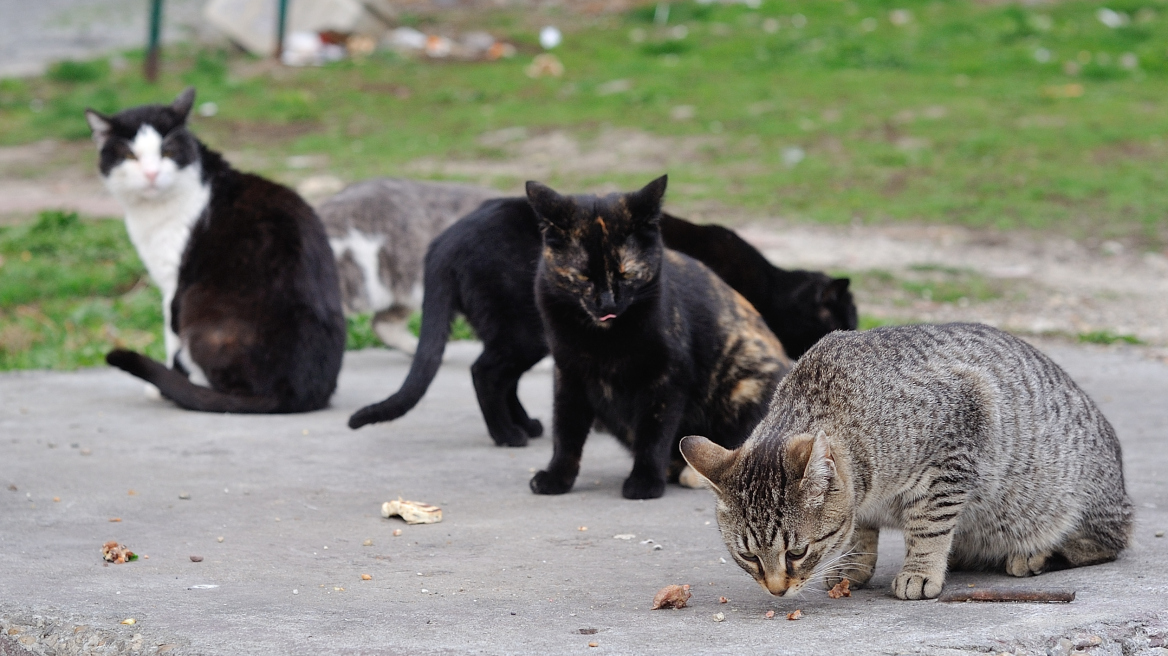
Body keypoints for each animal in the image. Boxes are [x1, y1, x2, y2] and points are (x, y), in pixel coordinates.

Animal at [85, 88, 343, 410]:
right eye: (130, 156)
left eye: (167, 152)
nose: (152, 174)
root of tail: (295, 392)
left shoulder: (174, 284)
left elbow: (171, 334)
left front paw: (164, 386)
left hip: (201, 312)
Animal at [350, 182, 854, 443]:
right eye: (844, 319)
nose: (853, 332)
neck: (770, 286)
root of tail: (447, 238)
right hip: (524, 331)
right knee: (485, 372)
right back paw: (508, 434)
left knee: (500, 376)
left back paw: (525, 426)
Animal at [530, 176, 794, 497]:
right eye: (582, 277)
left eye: (627, 274)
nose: (607, 304)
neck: (604, 341)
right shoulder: (569, 375)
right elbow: (565, 431)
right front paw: (557, 477)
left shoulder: (667, 378)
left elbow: (654, 433)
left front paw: (644, 481)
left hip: (746, 382)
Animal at [682, 319, 1130, 597]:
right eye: (748, 556)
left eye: (796, 553)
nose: (777, 590)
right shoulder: (861, 504)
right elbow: (859, 532)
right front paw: (851, 566)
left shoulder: (955, 448)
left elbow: (929, 527)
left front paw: (919, 571)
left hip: (1075, 502)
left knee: (1106, 543)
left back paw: (1034, 556)